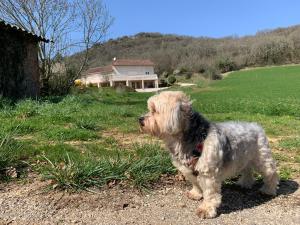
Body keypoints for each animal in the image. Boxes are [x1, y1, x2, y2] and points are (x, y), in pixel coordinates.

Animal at [138, 90, 278, 219]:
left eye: (154, 110)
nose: (140, 119)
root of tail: (256, 126)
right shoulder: (189, 169)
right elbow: (195, 183)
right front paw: (196, 194)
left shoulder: (208, 173)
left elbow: (210, 194)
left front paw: (206, 209)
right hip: (243, 158)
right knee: (247, 170)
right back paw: (245, 183)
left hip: (261, 158)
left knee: (271, 173)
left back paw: (268, 190)